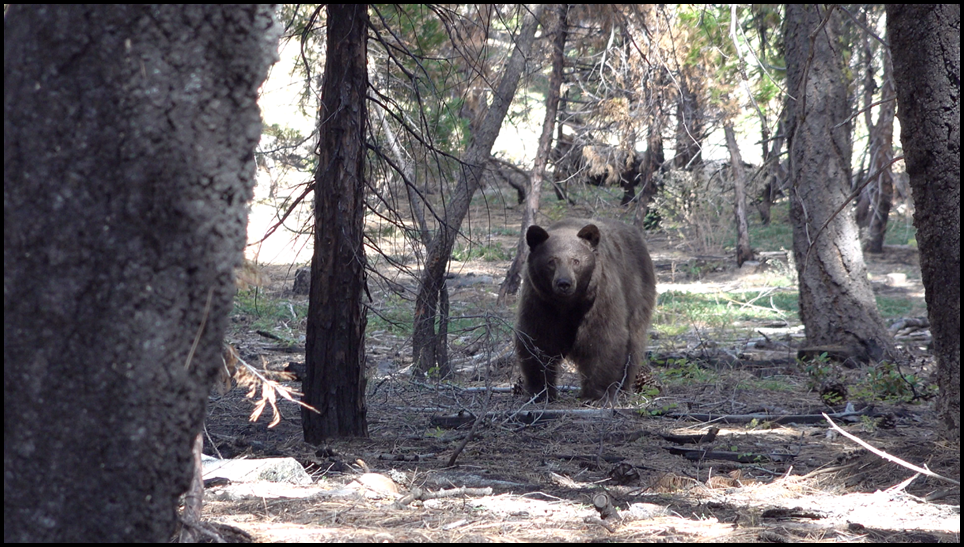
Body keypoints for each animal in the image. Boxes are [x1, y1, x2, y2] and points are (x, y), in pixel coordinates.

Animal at [515, 218, 657, 402]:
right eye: (551, 261)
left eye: (575, 260)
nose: (564, 283)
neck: (568, 304)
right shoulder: (541, 301)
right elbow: (538, 339)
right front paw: (539, 391)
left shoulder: (600, 296)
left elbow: (602, 338)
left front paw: (596, 394)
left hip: (637, 291)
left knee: (633, 342)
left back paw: (623, 386)